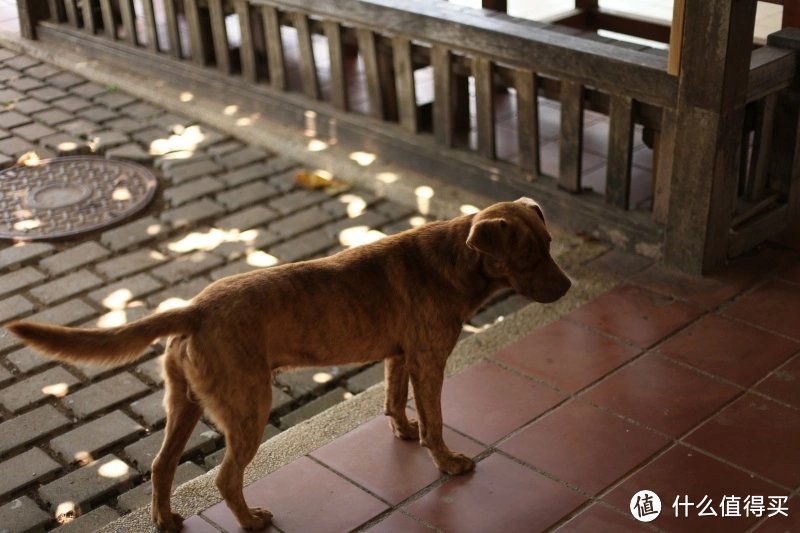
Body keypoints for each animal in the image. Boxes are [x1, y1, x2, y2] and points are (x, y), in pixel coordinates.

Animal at [6, 197, 568, 528]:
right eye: (528, 256)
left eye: (550, 245)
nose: (567, 288)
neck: (455, 260)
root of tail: (194, 308)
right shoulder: (429, 360)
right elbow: (436, 422)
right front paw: (448, 462)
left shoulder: (399, 355)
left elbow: (394, 401)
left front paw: (404, 431)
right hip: (248, 406)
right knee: (225, 477)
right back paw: (252, 520)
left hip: (185, 404)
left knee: (162, 466)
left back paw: (165, 518)